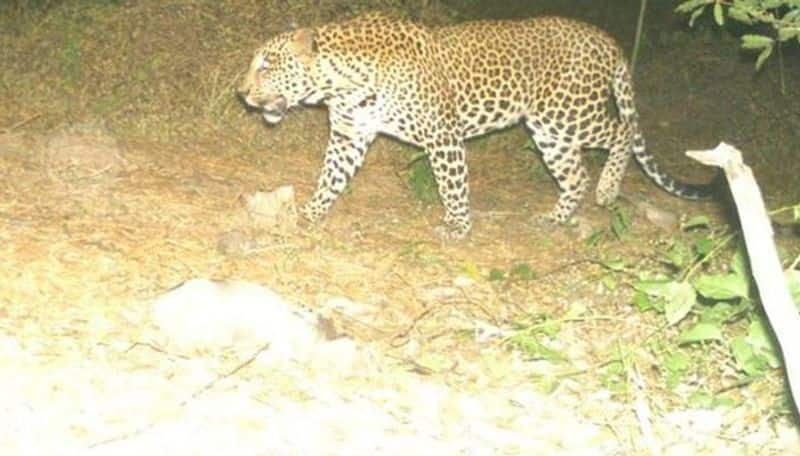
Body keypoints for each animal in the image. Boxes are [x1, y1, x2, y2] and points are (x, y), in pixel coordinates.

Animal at [238, 11, 712, 239]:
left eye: (267, 64)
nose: (241, 93)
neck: (340, 81)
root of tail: (605, 39)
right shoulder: (349, 135)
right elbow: (330, 178)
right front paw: (309, 213)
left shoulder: (441, 136)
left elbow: (452, 185)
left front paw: (458, 226)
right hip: (549, 130)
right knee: (575, 172)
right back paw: (555, 218)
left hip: (568, 113)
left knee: (622, 132)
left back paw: (609, 189)